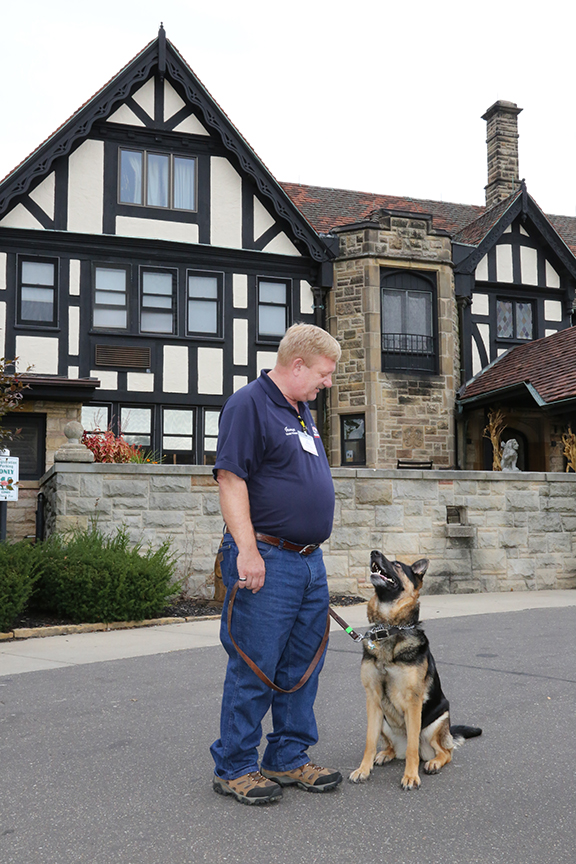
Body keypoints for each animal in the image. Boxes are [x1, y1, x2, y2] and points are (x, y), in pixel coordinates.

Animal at [348, 552, 480, 788]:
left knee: (444, 752)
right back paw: (385, 754)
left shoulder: (413, 701)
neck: (389, 629)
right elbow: (369, 742)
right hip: (384, 721)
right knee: (392, 746)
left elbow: (412, 748)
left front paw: (410, 776)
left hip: (436, 723)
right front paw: (364, 769)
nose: (374, 552)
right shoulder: (372, 699)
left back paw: (433, 762)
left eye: (397, 565)